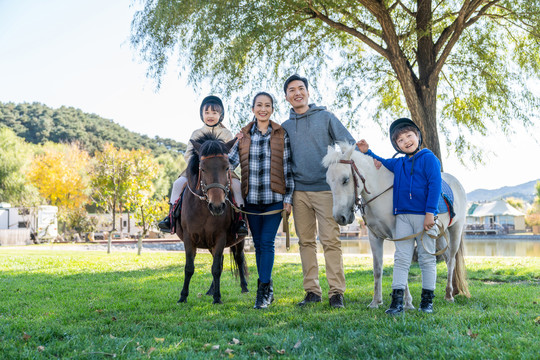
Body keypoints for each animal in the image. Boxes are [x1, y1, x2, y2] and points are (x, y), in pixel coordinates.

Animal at [176, 134, 248, 304]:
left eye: (227, 167)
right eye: (202, 168)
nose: (217, 206)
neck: (204, 210)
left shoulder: (220, 237)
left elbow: (216, 269)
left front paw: (217, 297)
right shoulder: (189, 237)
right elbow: (189, 268)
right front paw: (183, 296)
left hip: (239, 240)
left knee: (238, 259)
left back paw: (244, 287)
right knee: (220, 260)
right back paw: (210, 290)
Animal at [322, 142, 470, 308]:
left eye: (346, 179)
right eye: (328, 181)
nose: (340, 217)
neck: (381, 194)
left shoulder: (399, 235)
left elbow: (401, 265)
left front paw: (407, 302)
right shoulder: (375, 237)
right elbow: (377, 268)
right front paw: (376, 301)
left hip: (455, 230)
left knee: (451, 260)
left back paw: (449, 294)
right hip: (437, 235)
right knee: (445, 257)